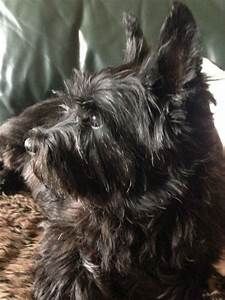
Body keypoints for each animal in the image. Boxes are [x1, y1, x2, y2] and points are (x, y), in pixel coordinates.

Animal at [0, 1, 225, 298]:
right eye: (68, 108)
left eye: (96, 119)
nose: (31, 144)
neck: (138, 208)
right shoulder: (67, 231)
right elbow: (70, 270)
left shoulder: (191, 263)